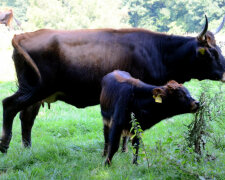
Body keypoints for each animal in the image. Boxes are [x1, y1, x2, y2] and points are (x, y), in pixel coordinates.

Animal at [1, 15, 225, 153]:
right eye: (211, 53)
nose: (224, 73)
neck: (159, 51)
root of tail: (22, 35)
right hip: (34, 89)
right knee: (9, 105)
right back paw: (5, 146)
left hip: (36, 93)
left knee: (26, 117)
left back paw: (27, 149)